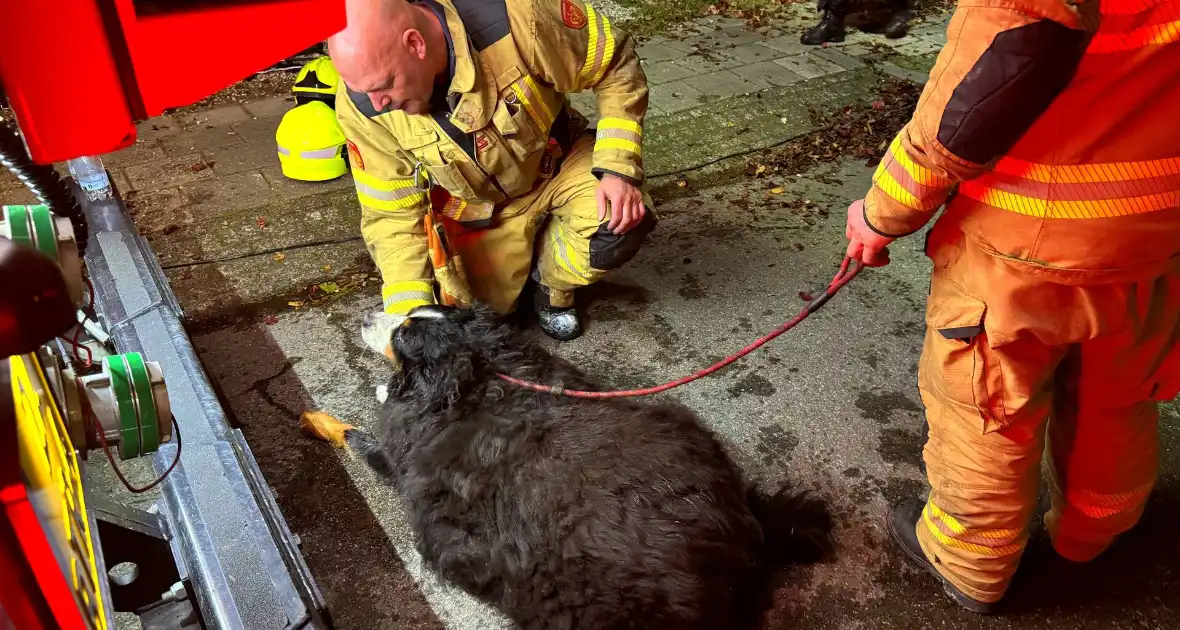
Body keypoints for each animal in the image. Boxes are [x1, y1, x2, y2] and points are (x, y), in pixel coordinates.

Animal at [306, 304, 840, 627]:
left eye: (401, 332)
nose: (368, 315)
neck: (481, 370)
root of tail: (743, 535)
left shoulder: (402, 464)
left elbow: (363, 439)